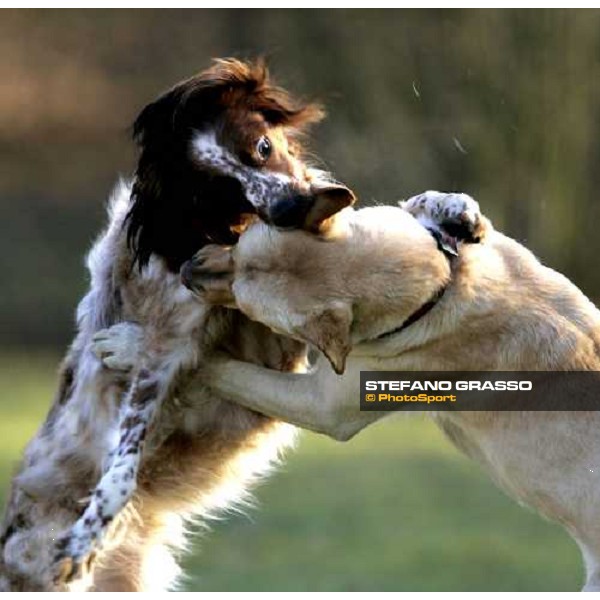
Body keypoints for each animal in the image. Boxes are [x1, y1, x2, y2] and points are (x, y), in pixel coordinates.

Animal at [0, 58, 354, 592]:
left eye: (263, 147)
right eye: (220, 192)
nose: (292, 208)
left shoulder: (280, 351)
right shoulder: (164, 353)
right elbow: (121, 469)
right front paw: (82, 541)